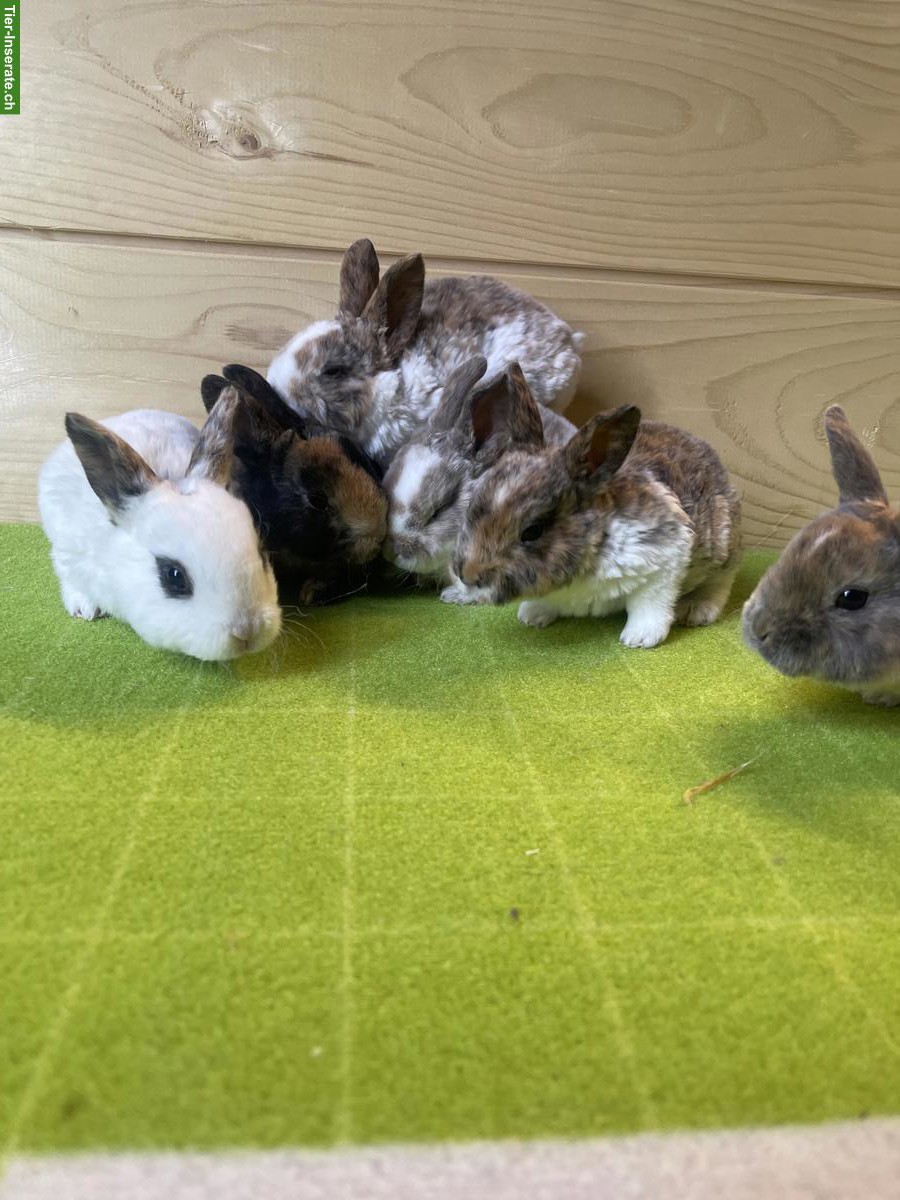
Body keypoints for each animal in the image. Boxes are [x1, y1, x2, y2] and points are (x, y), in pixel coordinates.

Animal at [451, 405, 742, 648]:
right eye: (472, 509)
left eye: (533, 531)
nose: (468, 575)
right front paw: (532, 615)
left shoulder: (667, 556)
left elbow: (650, 603)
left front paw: (640, 638)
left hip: (722, 544)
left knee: (722, 582)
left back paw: (697, 610)